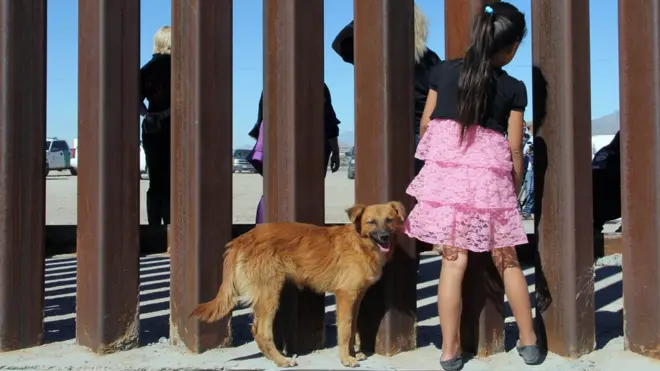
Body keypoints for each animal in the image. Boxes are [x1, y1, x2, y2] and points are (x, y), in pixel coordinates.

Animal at [191, 203, 404, 370]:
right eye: (371, 222)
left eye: (389, 220)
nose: (384, 237)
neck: (361, 243)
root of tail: (241, 239)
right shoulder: (345, 296)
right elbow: (345, 329)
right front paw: (345, 359)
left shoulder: (356, 298)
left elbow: (352, 329)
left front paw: (353, 353)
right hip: (270, 294)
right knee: (261, 331)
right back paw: (281, 361)